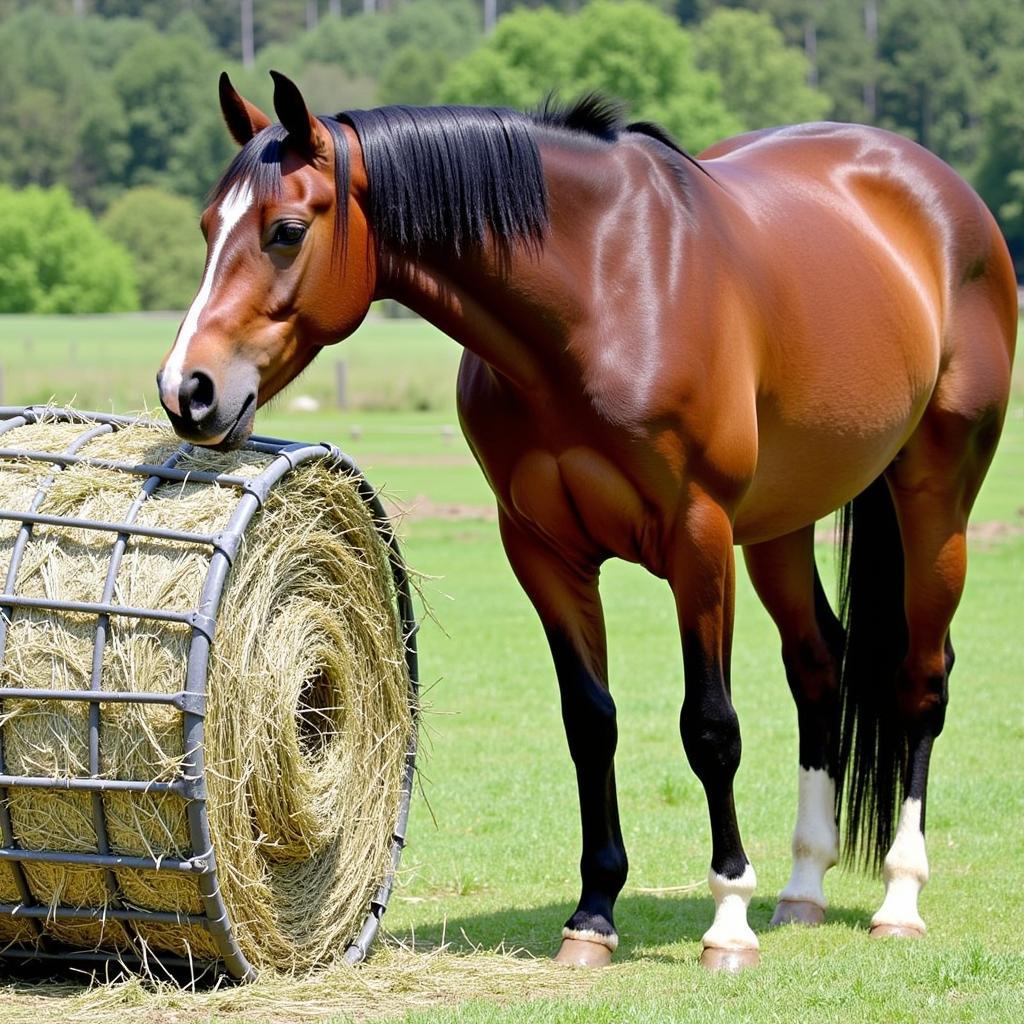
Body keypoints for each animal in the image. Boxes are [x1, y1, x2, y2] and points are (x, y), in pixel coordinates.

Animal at [157, 70, 1015, 966]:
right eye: (208, 225)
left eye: (286, 231)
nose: (188, 390)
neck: (603, 292)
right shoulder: (542, 549)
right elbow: (589, 721)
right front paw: (594, 914)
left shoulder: (698, 539)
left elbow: (710, 727)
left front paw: (728, 917)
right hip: (783, 523)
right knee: (819, 666)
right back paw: (804, 887)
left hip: (936, 496)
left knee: (920, 678)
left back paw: (899, 897)